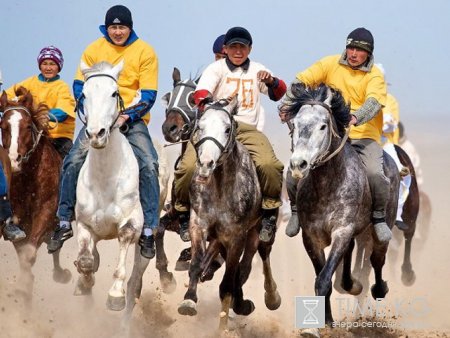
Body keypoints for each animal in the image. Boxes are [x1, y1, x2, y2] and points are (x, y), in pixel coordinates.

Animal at [0, 86, 71, 302]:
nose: (14, 159)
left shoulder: (46, 212)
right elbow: (23, 253)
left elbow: (29, 255)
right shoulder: (19, 221)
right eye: (3, 126)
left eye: (26, 126)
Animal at [74, 60, 150, 324]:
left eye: (114, 93)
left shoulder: (133, 221)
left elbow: (125, 241)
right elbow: (86, 260)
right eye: (84, 94)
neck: (105, 178)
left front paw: (115, 295)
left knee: (137, 273)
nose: (96, 134)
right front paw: (83, 283)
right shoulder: (84, 223)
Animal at [177, 97, 282, 330]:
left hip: (258, 231)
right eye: (200, 127)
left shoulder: (235, 236)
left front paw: (222, 328)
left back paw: (270, 297)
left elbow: (227, 284)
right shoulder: (199, 225)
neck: (218, 187)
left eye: (227, 129)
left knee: (258, 258)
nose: (206, 164)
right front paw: (188, 300)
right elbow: (197, 264)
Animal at [284, 82, 400, 328]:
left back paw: (378, 288)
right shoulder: (311, 237)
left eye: (323, 126)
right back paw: (350, 283)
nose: (299, 164)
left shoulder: (342, 230)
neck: (327, 184)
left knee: (377, 259)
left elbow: (324, 278)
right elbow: (321, 277)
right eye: (295, 124)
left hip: (382, 228)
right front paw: (326, 321)